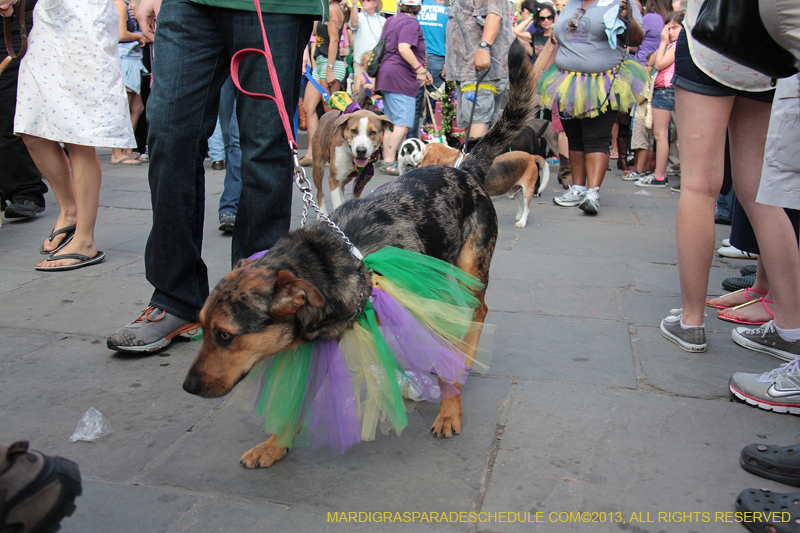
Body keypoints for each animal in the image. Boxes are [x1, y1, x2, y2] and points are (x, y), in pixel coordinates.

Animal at [178, 40, 536, 466]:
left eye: (226, 336)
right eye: (201, 328)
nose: (188, 386)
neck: (331, 263)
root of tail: (466, 168)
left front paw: (449, 410)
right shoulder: (318, 345)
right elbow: (297, 397)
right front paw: (274, 445)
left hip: (471, 268)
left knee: (478, 311)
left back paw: (463, 357)